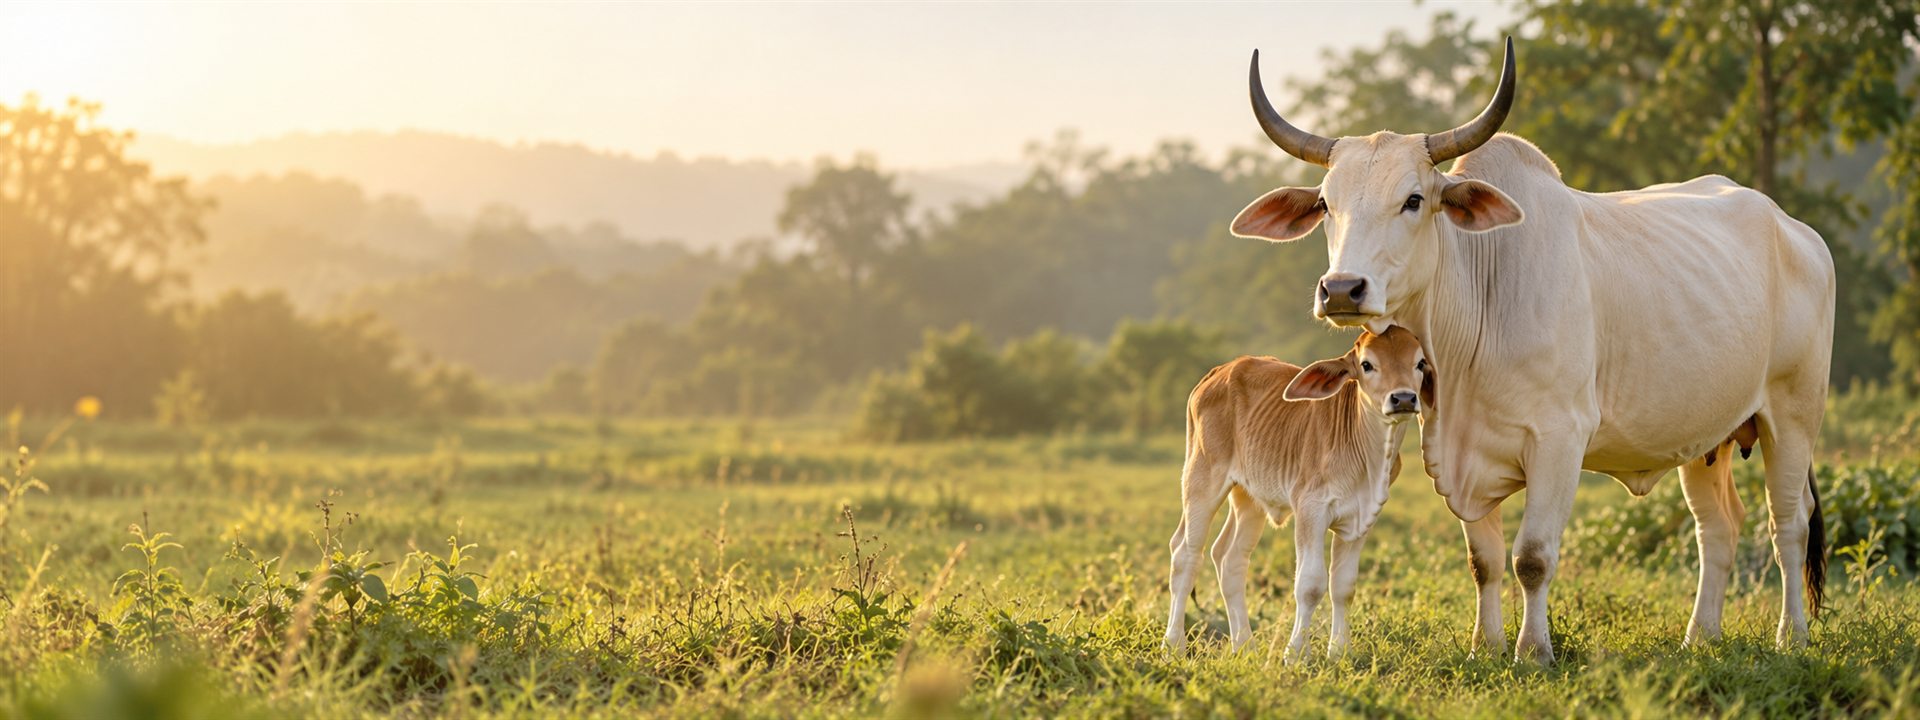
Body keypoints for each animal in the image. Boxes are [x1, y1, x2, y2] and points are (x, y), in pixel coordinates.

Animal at [1164, 326, 1431, 661]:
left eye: (1420, 363)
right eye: (1367, 364)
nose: (1404, 398)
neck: (1368, 457)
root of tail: (1220, 371)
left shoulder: (1362, 518)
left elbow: (1344, 586)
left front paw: (1339, 652)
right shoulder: (1310, 509)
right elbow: (1310, 585)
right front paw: (1295, 654)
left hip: (1249, 497)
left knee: (1229, 559)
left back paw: (1245, 645)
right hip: (1201, 478)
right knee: (1185, 554)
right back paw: (1173, 645)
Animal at [1229, 38, 1834, 664]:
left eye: (1414, 199)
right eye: (1326, 204)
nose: (1343, 289)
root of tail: (1796, 230)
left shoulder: (1559, 440)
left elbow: (1532, 557)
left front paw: (1533, 651)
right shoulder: (1458, 451)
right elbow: (1485, 561)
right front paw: (1486, 644)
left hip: (1793, 417)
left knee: (1789, 523)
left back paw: (1792, 635)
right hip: (1707, 437)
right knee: (1718, 527)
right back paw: (1701, 636)